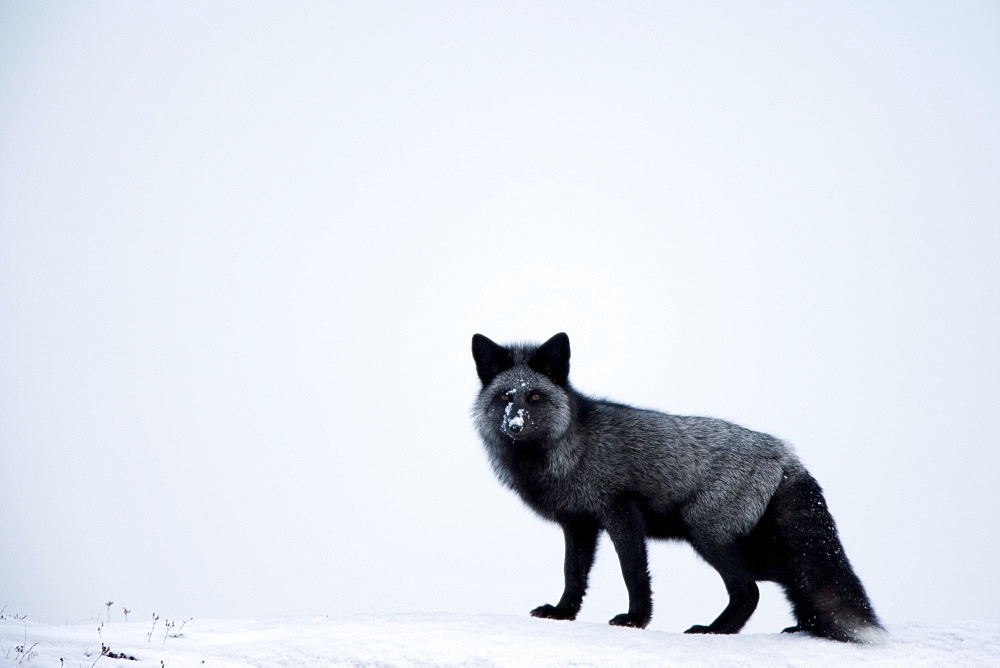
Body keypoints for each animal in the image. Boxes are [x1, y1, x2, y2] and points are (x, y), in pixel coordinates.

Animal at [468, 332, 884, 640]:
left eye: (536, 396)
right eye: (506, 398)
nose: (514, 425)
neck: (566, 451)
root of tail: (785, 455)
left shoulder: (621, 512)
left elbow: (634, 573)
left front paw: (636, 621)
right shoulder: (579, 524)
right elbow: (573, 575)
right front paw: (562, 613)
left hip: (707, 534)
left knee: (751, 590)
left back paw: (715, 631)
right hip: (753, 549)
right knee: (797, 581)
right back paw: (800, 628)